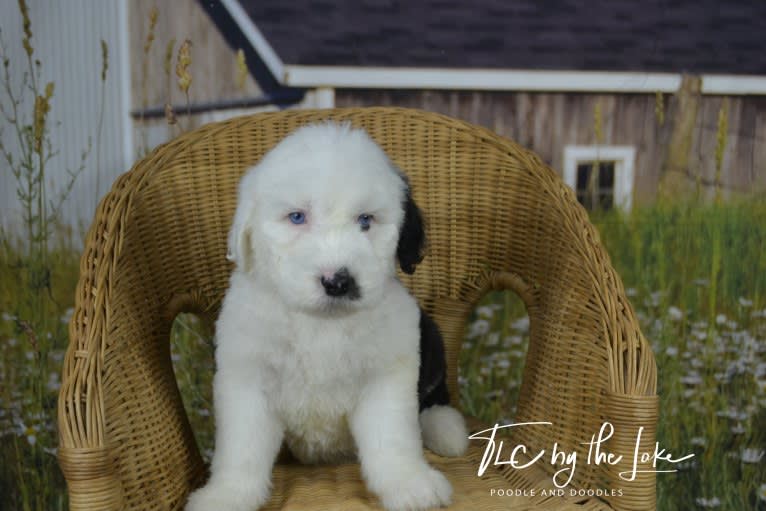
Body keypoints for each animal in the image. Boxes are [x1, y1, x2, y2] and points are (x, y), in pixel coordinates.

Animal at [189, 123, 472, 511]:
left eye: (366, 220)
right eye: (297, 217)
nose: (337, 281)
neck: (321, 323)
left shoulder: (387, 371)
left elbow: (393, 437)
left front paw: (410, 484)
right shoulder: (246, 375)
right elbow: (241, 447)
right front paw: (226, 495)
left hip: (429, 335)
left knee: (434, 396)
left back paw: (446, 429)